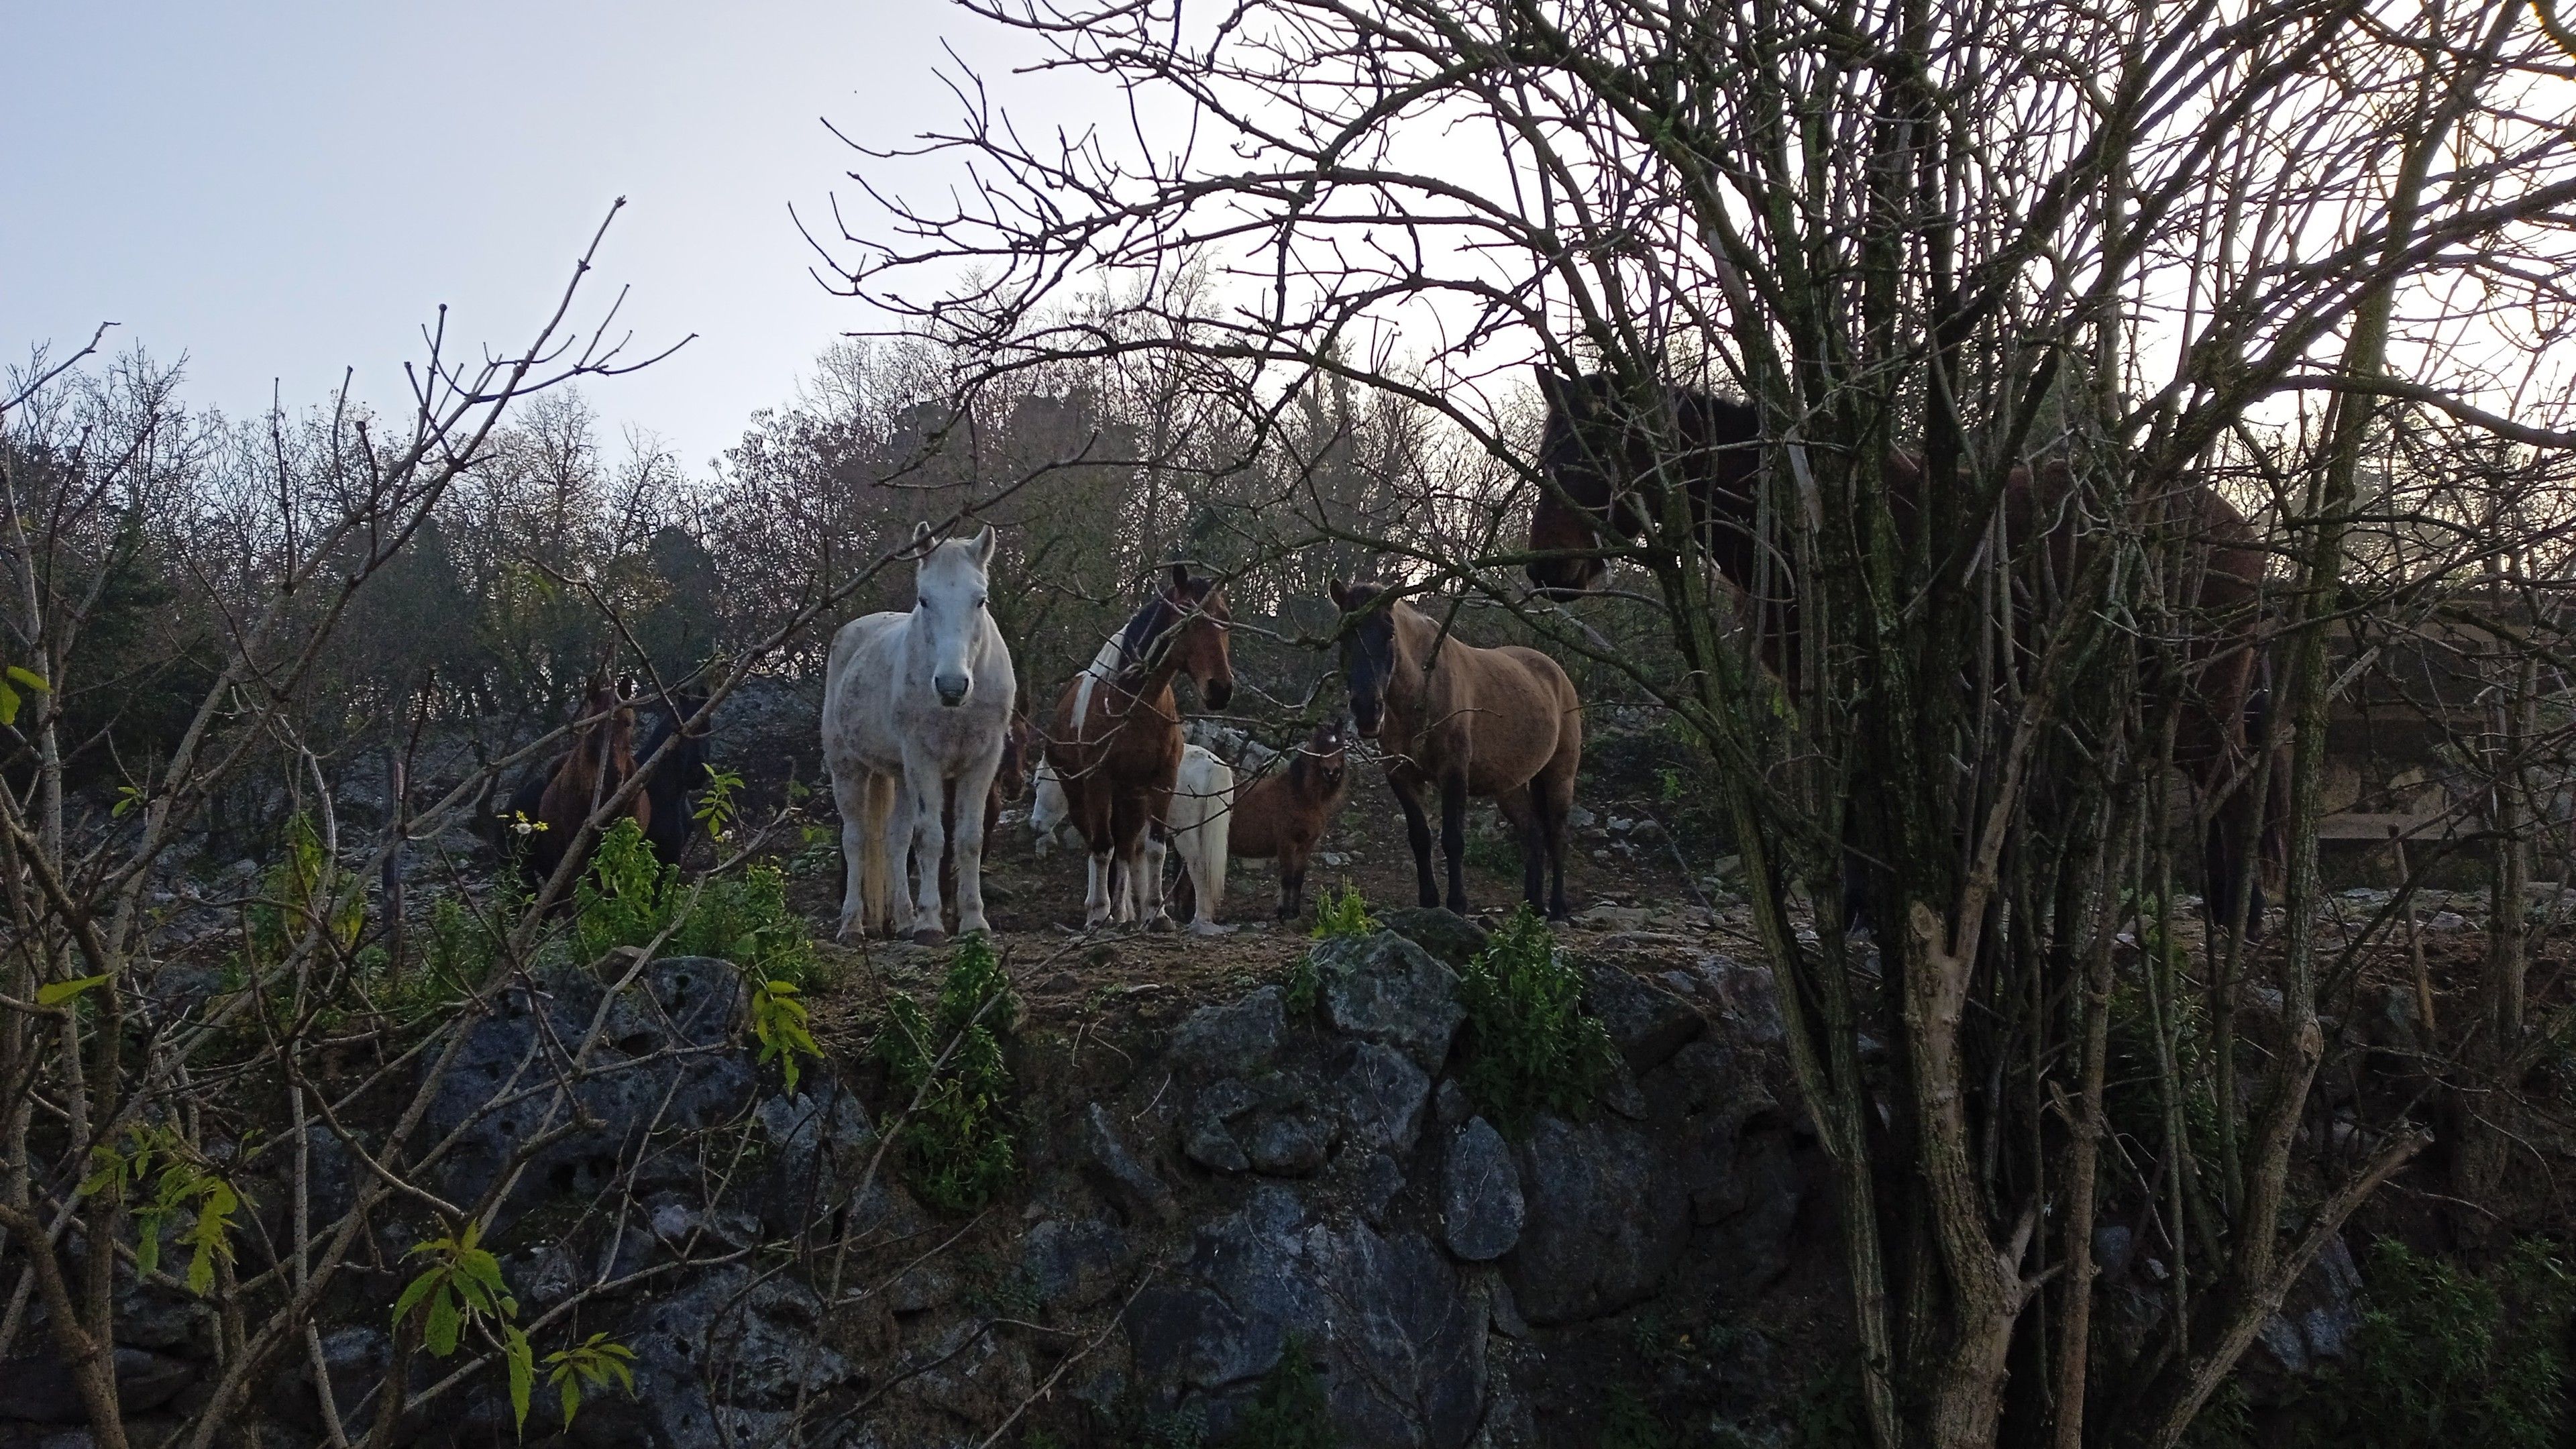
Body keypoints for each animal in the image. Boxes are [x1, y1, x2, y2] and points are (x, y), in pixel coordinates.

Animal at [821, 524, 1017, 944]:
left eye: (980, 600)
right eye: (924, 600)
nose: (951, 686)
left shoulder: (982, 761)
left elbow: (969, 839)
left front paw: (974, 920)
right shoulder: (923, 761)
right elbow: (931, 838)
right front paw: (930, 923)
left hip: (900, 775)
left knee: (895, 841)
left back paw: (904, 920)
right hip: (849, 769)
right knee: (855, 840)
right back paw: (852, 925)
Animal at [1221, 717, 1352, 921]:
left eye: (1341, 746)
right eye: (1321, 747)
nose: (1333, 772)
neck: (1301, 796)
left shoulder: (1307, 846)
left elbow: (1298, 879)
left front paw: (1295, 912)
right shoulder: (1286, 843)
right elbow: (1287, 878)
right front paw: (1283, 913)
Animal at [1329, 582, 1583, 919]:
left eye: (1390, 633)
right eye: (1342, 634)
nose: (1368, 711)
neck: (1422, 690)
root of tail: (1557, 674)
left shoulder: (1453, 772)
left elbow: (1453, 840)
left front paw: (1457, 903)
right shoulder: (1401, 774)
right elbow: (1420, 838)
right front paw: (1428, 901)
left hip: (1559, 776)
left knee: (1557, 837)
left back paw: (1557, 908)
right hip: (1509, 788)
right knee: (1533, 835)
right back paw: (1533, 905)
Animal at [1525, 367, 2282, 930]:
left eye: (1585, 456)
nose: (1546, 571)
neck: (1797, 522)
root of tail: (2239, 528)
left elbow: (1860, 789)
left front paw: (1861, 909)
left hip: (2195, 693)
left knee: (2233, 779)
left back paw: (2236, 912)